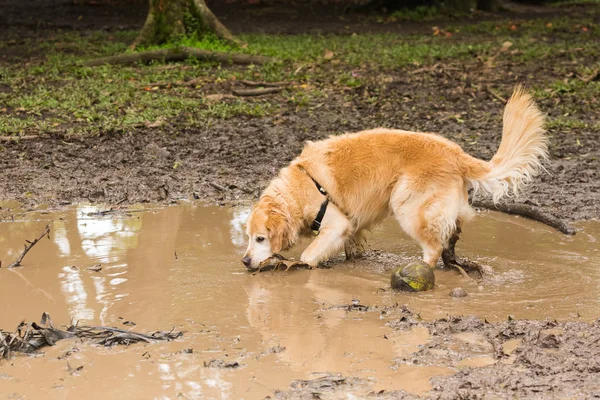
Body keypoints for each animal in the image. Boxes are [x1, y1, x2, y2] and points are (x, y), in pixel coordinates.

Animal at [243, 85, 548, 270]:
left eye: (260, 238)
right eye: (248, 237)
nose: (245, 261)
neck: (303, 185)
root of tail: (456, 153)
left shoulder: (336, 223)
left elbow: (308, 255)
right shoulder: (352, 226)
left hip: (407, 205)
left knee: (432, 249)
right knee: (449, 243)